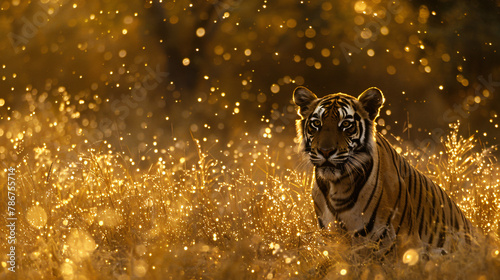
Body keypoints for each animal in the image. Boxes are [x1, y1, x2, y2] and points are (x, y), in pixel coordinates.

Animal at [292, 86, 476, 258]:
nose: (325, 151)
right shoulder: (332, 239)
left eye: (345, 124)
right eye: (316, 124)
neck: (338, 185)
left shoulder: (405, 241)